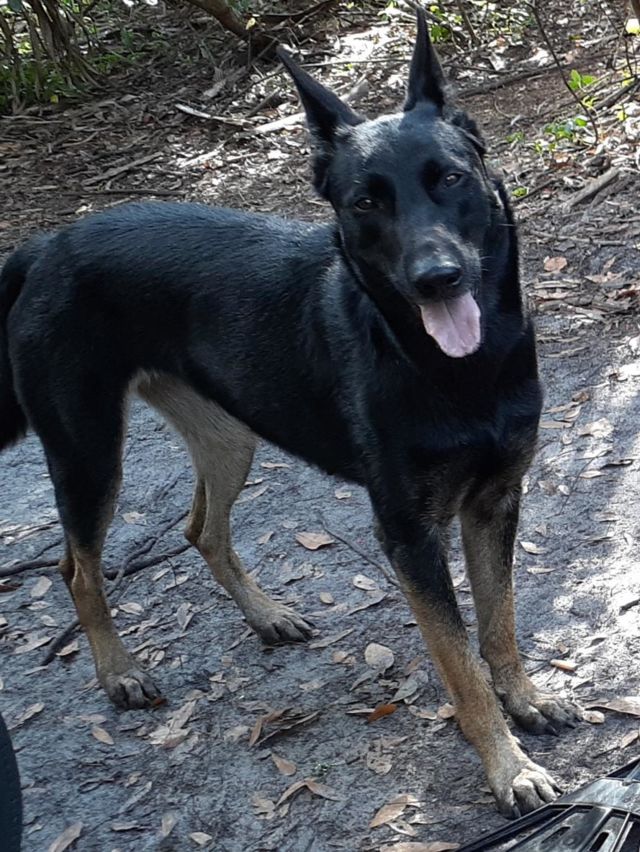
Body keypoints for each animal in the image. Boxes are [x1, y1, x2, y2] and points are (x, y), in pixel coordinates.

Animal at [0, 11, 580, 817]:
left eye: (451, 178)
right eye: (365, 203)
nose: (437, 280)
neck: (456, 368)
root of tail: (45, 246)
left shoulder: (494, 502)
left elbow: (500, 624)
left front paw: (525, 699)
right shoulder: (410, 538)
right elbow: (461, 662)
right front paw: (507, 764)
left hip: (228, 436)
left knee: (200, 529)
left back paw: (265, 614)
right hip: (88, 451)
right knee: (78, 569)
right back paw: (120, 672)